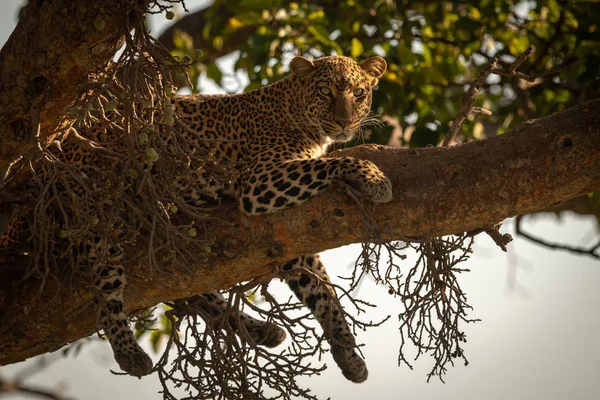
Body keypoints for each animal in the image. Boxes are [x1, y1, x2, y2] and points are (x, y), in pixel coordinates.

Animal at [0, 54, 392, 382]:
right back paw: (129, 354)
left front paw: (347, 351)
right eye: (326, 91)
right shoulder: (259, 181)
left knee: (195, 292)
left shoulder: (290, 236)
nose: (345, 121)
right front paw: (375, 178)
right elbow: (331, 164)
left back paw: (260, 329)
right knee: (106, 292)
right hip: (98, 211)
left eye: (359, 93)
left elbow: (321, 288)